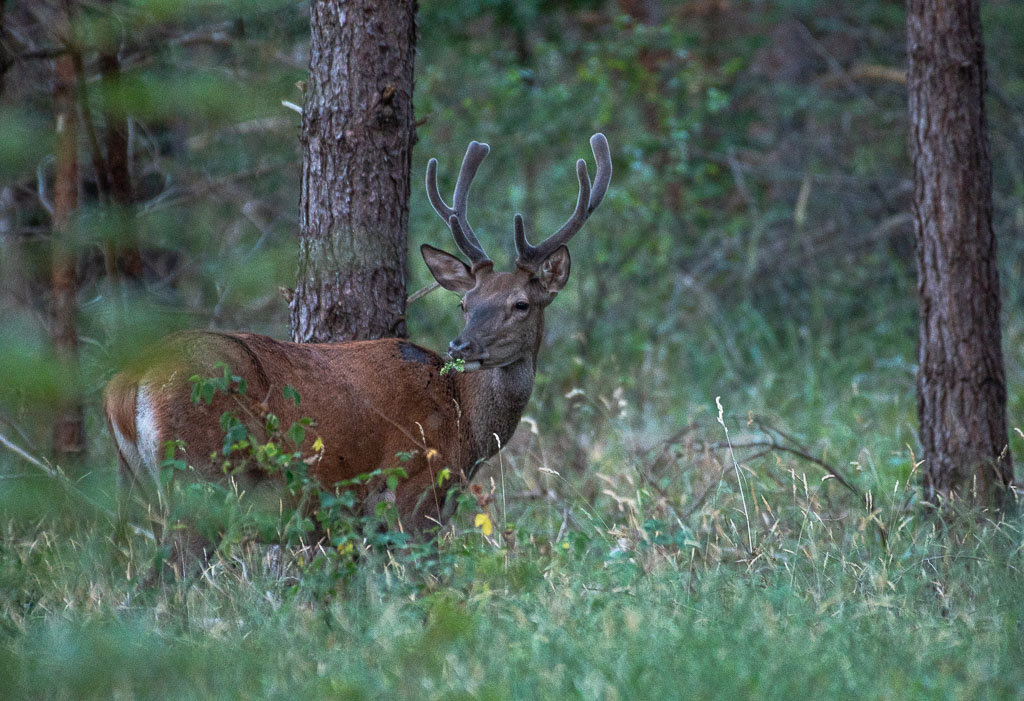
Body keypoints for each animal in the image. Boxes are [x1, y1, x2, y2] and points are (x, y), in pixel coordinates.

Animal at [104, 133, 611, 537]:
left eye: (520, 304)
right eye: (466, 304)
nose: (461, 345)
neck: (463, 425)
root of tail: (125, 387)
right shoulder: (414, 491)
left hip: (139, 483)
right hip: (201, 474)